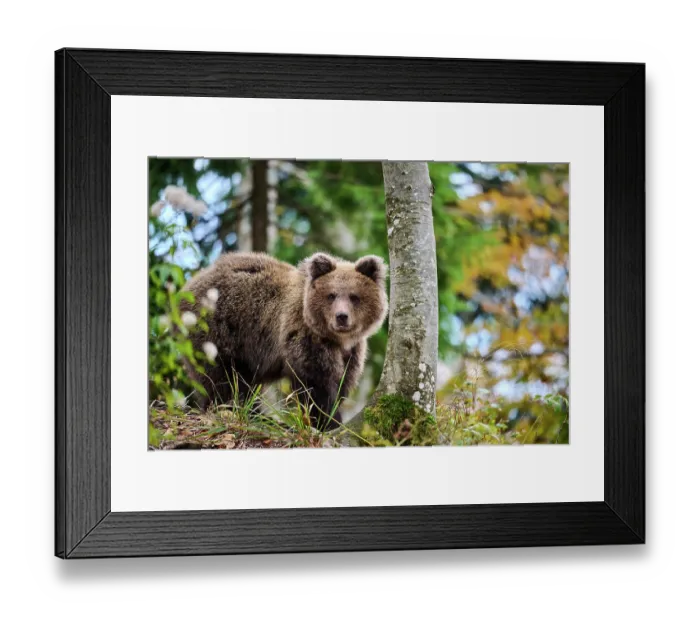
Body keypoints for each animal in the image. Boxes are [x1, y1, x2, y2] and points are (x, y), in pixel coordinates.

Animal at [179, 251, 388, 430]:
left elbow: (342, 382)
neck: (337, 339)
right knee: (223, 377)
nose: (341, 317)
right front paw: (328, 420)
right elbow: (315, 382)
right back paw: (237, 410)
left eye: (354, 296)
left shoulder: (351, 352)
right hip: (219, 330)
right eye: (331, 295)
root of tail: (188, 286)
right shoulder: (303, 336)